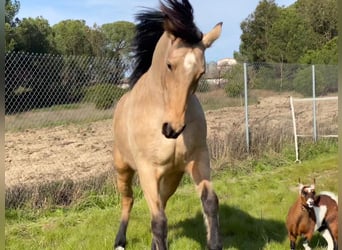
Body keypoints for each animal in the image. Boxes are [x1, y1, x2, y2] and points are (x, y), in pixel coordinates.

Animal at [113, 0, 223, 249]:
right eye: (170, 65)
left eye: (201, 72)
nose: (172, 129)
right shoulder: (147, 170)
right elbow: (158, 222)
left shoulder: (198, 159)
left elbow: (210, 202)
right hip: (123, 168)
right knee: (128, 200)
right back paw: (120, 241)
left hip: (172, 176)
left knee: (162, 201)